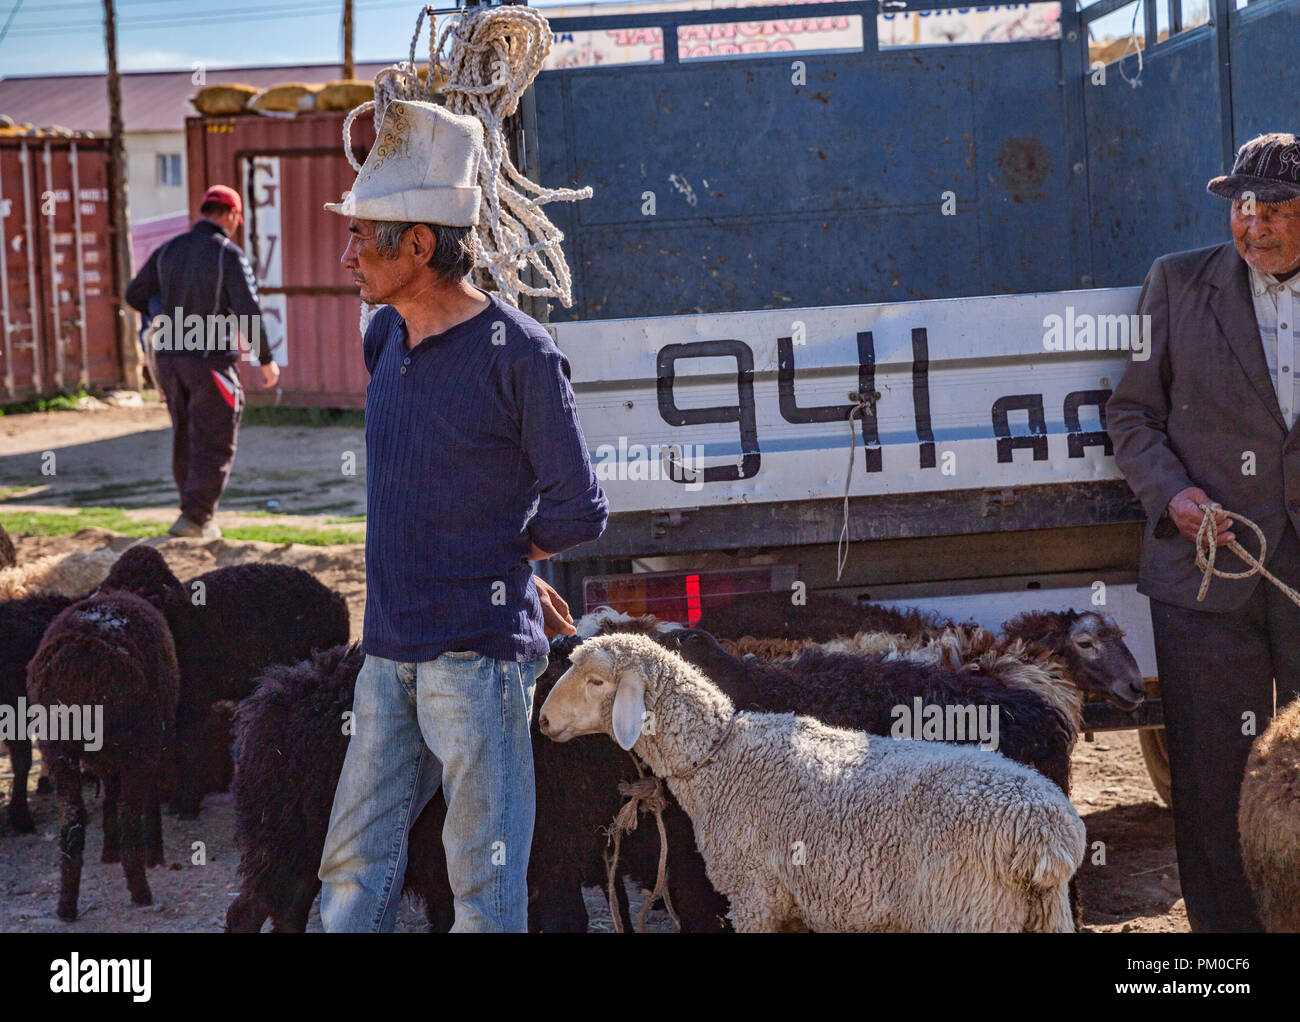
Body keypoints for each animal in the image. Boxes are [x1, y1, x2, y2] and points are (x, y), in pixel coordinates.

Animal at [25, 585, 180, 920]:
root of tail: (81, 658)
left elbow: (108, 792)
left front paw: (109, 850)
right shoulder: (152, 744)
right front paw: (154, 854)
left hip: (58, 748)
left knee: (72, 817)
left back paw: (66, 905)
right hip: (140, 741)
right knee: (130, 814)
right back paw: (141, 890)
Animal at [538, 629, 1086, 930]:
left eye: (596, 680)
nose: (541, 720)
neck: (722, 754)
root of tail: (1046, 833)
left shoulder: (754, 897)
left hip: (969, 911)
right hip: (1043, 914)